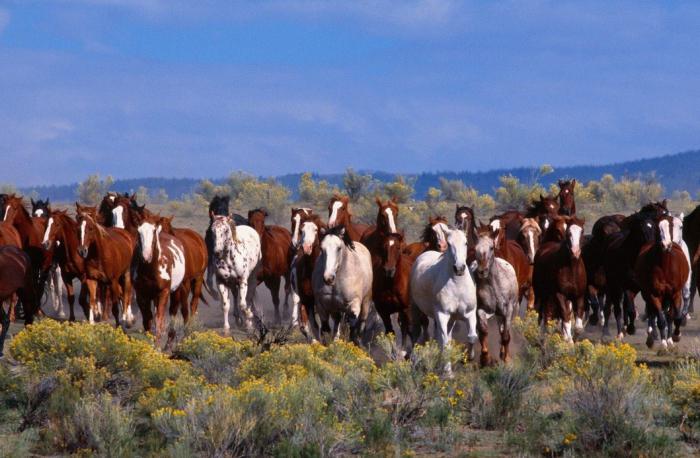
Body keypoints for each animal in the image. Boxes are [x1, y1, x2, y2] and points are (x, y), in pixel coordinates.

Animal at [636, 216, 692, 348]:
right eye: (657, 226)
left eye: (671, 225)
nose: (666, 245)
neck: (665, 266)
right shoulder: (654, 294)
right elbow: (660, 318)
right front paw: (663, 343)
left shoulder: (675, 293)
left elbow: (675, 317)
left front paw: (674, 337)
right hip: (647, 294)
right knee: (651, 312)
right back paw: (651, 337)